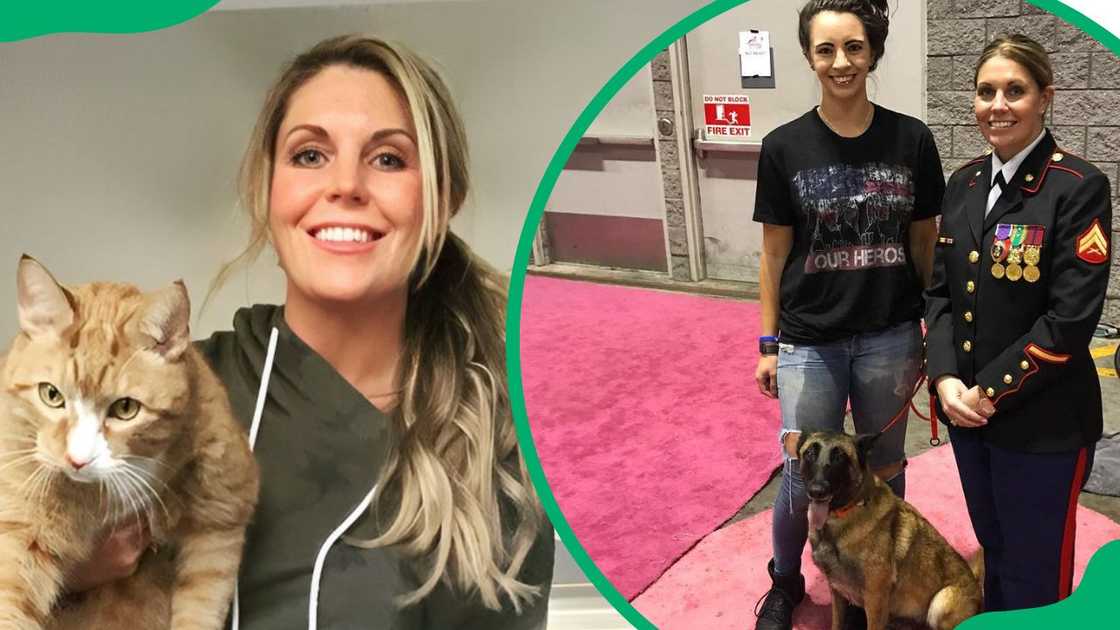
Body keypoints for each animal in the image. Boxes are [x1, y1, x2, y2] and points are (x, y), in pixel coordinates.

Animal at [1, 256, 257, 627]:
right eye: (51, 395)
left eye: (125, 409)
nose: (77, 460)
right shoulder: (17, 531)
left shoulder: (220, 523)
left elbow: (200, 608)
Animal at [797, 428, 981, 627]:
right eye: (810, 453)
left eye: (840, 457)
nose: (817, 491)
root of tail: (978, 589)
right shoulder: (837, 591)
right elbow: (836, 623)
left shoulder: (875, 600)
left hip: (940, 602)